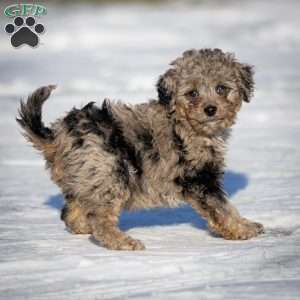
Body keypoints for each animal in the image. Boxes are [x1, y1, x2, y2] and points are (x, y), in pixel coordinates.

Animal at [17, 48, 264, 251]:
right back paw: (123, 242)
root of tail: (57, 135)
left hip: (88, 177)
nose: (210, 109)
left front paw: (245, 225)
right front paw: (243, 229)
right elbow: (222, 207)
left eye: (222, 88)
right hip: (110, 172)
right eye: (192, 93)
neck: (186, 123)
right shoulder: (199, 179)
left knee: (72, 210)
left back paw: (83, 226)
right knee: (101, 219)